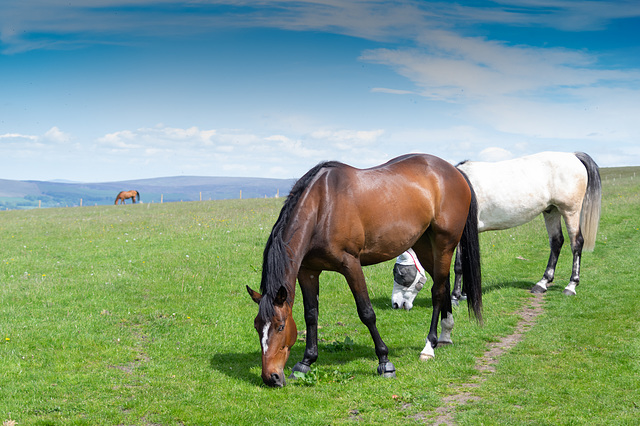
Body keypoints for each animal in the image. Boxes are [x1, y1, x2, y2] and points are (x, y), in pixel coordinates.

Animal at [245, 155, 480, 388]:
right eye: (257, 326)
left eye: (281, 327)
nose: (271, 377)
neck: (322, 208)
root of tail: (454, 171)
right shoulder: (308, 271)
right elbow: (311, 314)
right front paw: (306, 362)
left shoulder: (351, 265)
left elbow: (366, 312)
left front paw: (385, 362)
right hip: (423, 243)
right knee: (443, 283)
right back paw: (445, 335)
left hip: (444, 244)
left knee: (438, 291)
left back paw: (429, 347)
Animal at [392, 151, 604, 312]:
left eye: (399, 273)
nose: (396, 304)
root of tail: (573, 156)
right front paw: (465, 294)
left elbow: (459, 265)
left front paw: (455, 297)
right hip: (551, 211)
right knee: (556, 242)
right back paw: (542, 283)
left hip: (570, 211)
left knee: (576, 243)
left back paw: (571, 286)